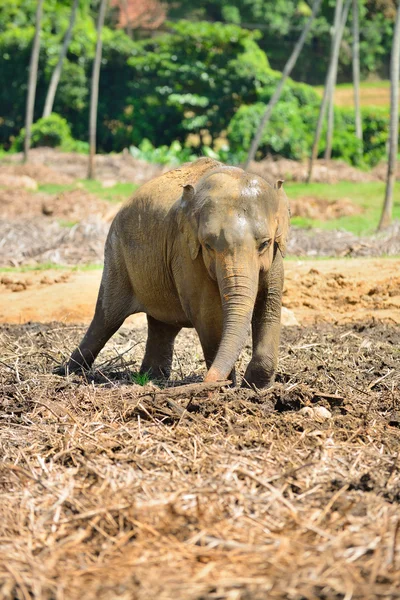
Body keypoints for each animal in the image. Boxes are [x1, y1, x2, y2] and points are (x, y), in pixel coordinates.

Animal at [64, 157, 292, 386]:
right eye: (208, 245)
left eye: (265, 243)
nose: (208, 381)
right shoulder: (187, 252)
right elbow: (208, 316)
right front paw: (226, 387)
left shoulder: (275, 256)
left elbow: (269, 304)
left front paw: (254, 387)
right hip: (116, 254)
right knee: (107, 319)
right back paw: (67, 372)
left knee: (162, 325)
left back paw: (151, 377)